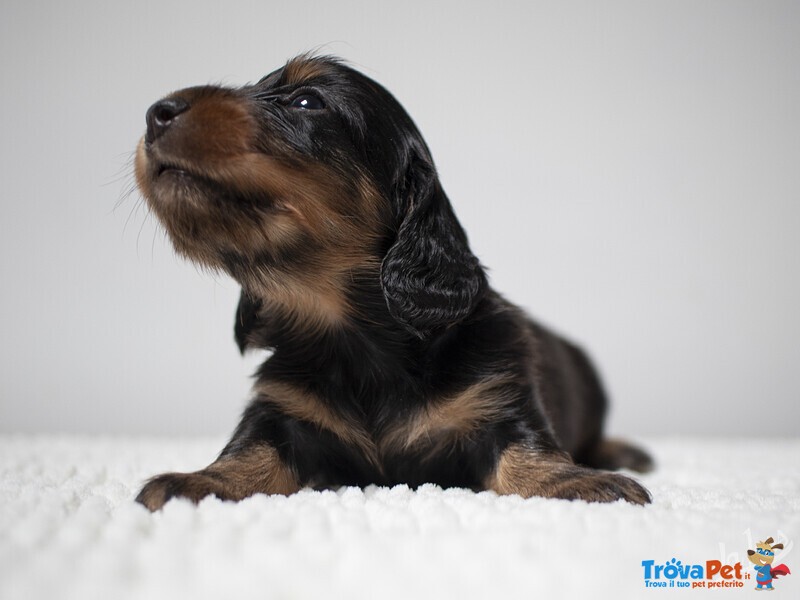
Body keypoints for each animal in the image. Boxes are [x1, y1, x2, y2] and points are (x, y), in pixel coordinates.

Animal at [134, 55, 652, 510]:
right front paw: (200, 480)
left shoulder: (499, 395)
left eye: (306, 101)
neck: (357, 336)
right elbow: (249, 451)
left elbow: (528, 450)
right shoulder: (280, 411)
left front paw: (575, 481)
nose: (156, 113)